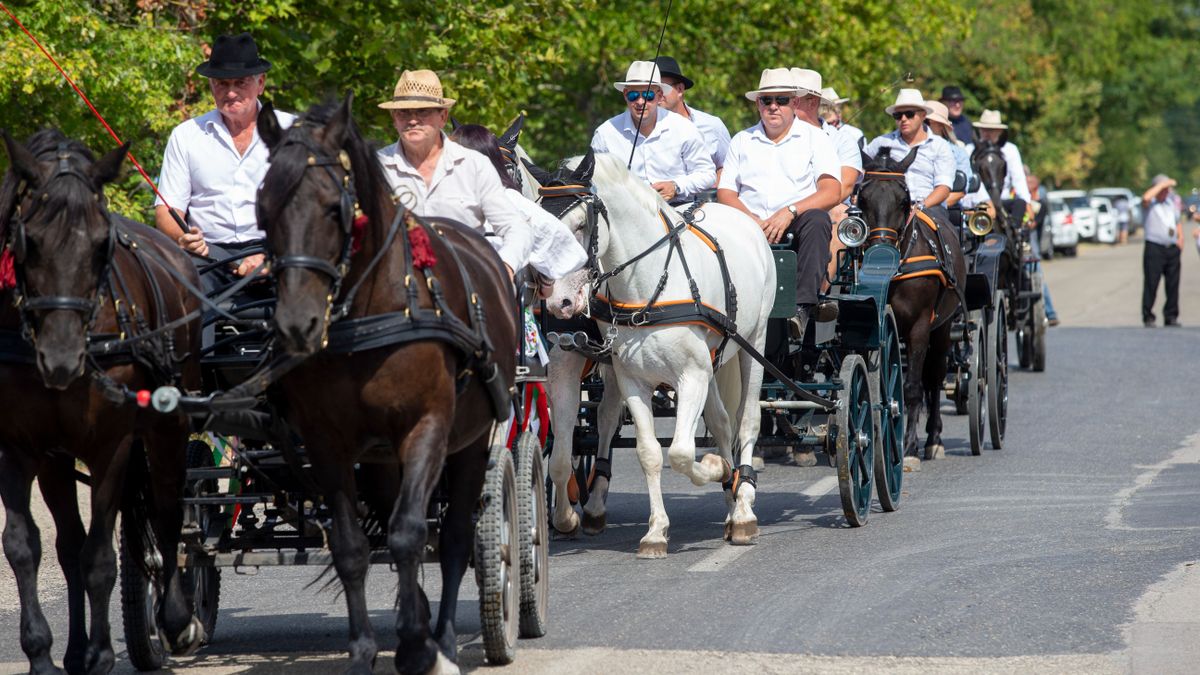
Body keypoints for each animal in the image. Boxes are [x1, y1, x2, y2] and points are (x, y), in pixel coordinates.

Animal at [0, 128, 202, 667]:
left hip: (169, 428)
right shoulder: (20, 446)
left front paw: (104, 653)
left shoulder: (112, 445)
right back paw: (73, 651)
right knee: (69, 543)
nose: (61, 359)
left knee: (168, 511)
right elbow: (24, 545)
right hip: (57, 457)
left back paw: (175, 618)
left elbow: (99, 557)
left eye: (99, 244)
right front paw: (42, 654)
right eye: (29, 241)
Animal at [255, 96, 518, 672]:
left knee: (454, 537)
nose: (297, 324)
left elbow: (409, 534)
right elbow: (353, 548)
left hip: (470, 441)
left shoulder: (428, 427)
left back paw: (442, 637)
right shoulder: (327, 443)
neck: (370, 315)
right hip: (378, 460)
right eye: (263, 206)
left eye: (334, 207)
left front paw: (420, 647)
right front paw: (365, 649)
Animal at [530, 152, 772, 557]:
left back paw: (743, 508)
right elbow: (648, 453)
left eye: (580, 225)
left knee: (746, 420)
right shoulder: (631, 379)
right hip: (710, 360)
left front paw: (717, 469)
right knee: (720, 422)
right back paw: (730, 494)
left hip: (754, 342)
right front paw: (656, 531)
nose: (558, 303)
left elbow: (681, 453)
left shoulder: (691, 377)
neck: (649, 286)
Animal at [859, 147, 969, 461]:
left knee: (934, 377)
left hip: (943, 327)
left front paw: (908, 447)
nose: (880, 249)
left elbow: (912, 387)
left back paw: (933, 438)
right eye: (862, 197)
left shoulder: (920, 327)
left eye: (904, 200)